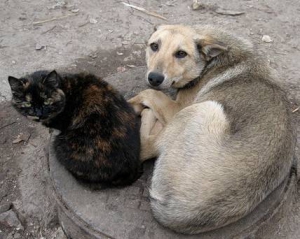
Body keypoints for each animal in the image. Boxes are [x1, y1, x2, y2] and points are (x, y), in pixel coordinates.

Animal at [8, 70, 142, 186]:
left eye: (47, 101)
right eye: (27, 103)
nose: (39, 114)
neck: (64, 88)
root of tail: (129, 169)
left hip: (59, 144)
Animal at [129, 24, 296, 233]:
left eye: (181, 53)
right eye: (154, 46)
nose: (155, 78)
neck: (209, 62)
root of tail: (181, 214)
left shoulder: (177, 108)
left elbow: (148, 93)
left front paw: (131, 104)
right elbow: (150, 92)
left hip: (204, 109)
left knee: (146, 147)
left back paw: (148, 116)